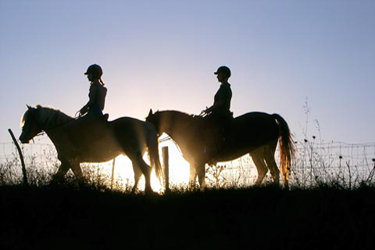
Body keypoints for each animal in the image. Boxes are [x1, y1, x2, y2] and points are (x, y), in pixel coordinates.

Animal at [147, 110, 296, 188]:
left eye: (149, 122)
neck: (187, 129)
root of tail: (270, 116)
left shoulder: (199, 161)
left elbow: (200, 179)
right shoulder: (193, 162)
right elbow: (192, 179)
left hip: (266, 151)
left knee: (274, 170)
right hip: (255, 152)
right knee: (263, 170)